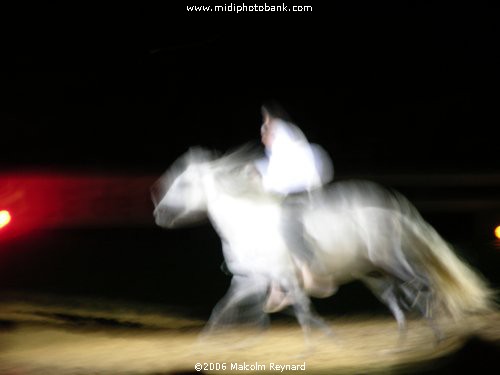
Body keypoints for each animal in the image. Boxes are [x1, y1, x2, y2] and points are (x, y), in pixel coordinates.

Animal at [152, 146, 496, 340]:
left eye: (183, 183)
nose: (159, 214)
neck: (247, 225)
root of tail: (391, 211)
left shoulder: (284, 277)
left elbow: (304, 313)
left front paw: (316, 343)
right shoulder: (248, 281)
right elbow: (222, 311)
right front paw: (204, 345)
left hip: (392, 261)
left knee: (423, 287)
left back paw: (437, 333)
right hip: (375, 275)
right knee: (401, 301)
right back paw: (409, 340)